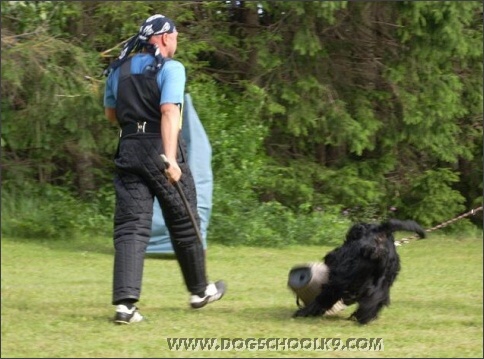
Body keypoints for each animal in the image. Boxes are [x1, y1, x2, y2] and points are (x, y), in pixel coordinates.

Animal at [292, 218, 424, 324]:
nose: (330, 255)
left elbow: (324, 297)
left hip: (342, 280)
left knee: (327, 295)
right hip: (383, 280)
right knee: (376, 298)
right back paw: (364, 316)